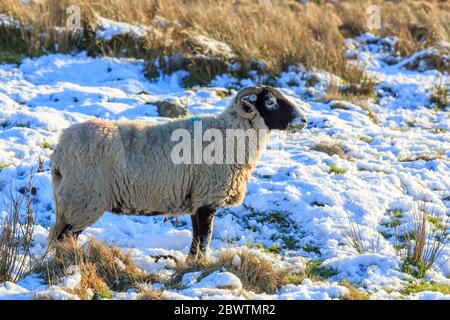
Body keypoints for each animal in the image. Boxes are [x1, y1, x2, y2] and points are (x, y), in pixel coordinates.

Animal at [49, 85, 308, 260]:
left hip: (73, 201)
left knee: (61, 236)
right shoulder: (208, 198)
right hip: (84, 200)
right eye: (270, 102)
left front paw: (190, 264)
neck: (230, 136)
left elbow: (195, 239)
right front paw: (202, 265)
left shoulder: (196, 199)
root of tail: (60, 150)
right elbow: (205, 238)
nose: (303, 120)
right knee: (63, 238)